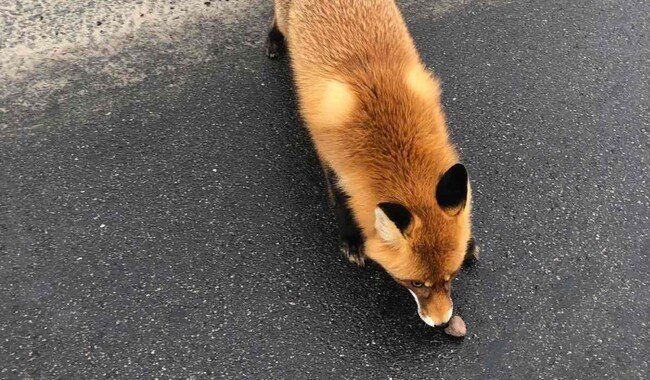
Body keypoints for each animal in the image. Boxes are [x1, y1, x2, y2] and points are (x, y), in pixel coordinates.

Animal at [266, 0, 478, 326]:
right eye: (415, 283)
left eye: (451, 276)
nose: (442, 322)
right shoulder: (332, 159)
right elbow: (342, 201)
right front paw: (352, 240)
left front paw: (469, 245)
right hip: (282, 14)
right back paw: (275, 39)